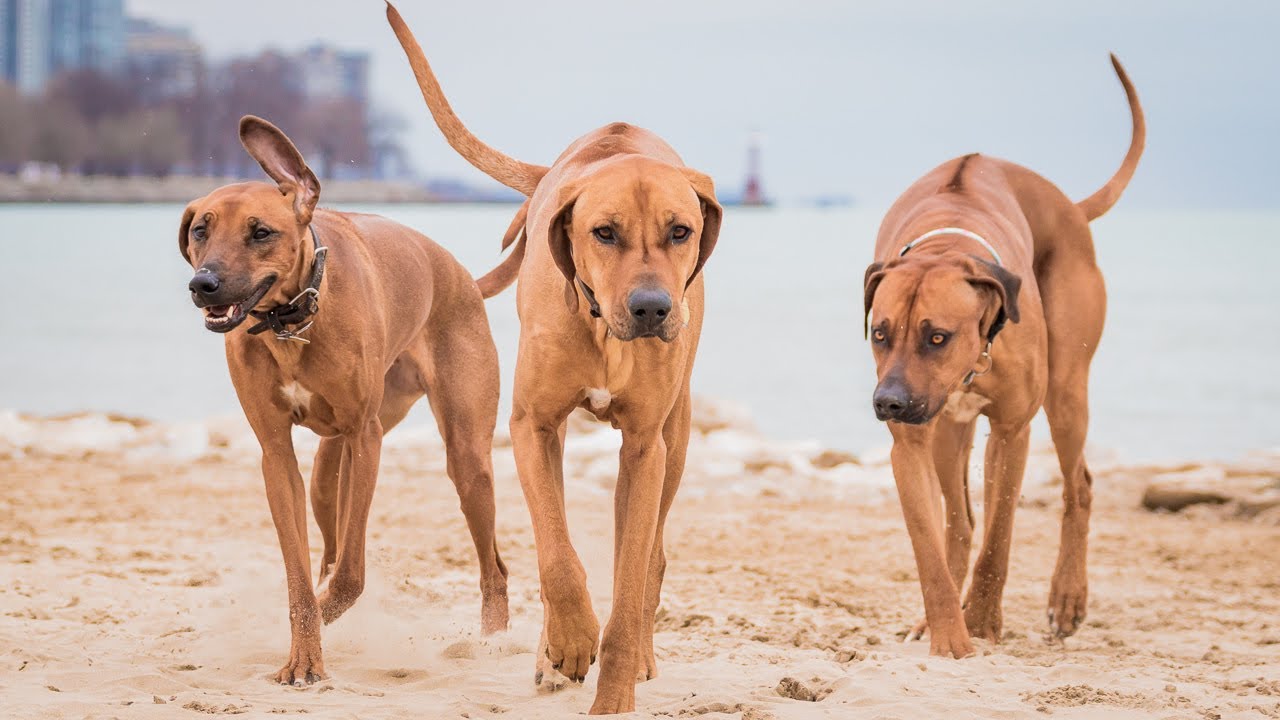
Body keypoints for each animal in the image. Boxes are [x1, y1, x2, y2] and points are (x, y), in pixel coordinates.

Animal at [180, 116, 509, 681]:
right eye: (201, 229)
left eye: (260, 232)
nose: (204, 284)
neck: (292, 321)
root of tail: (463, 275)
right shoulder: (276, 454)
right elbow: (299, 577)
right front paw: (304, 652)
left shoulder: (365, 438)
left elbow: (352, 575)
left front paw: (326, 616)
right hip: (325, 474)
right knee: (329, 540)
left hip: (466, 458)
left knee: (494, 566)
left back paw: (489, 644)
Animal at [381, 5, 721, 712]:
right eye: (603, 232)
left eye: (680, 230)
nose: (652, 309)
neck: (604, 332)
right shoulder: (531, 426)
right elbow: (558, 554)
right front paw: (567, 641)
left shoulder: (645, 446)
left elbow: (629, 575)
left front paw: (615, 691)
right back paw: (551, 650)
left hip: (675, 438)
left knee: (650, 557)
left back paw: (639, 652)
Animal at [865, 56, 1146, 655]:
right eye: (880, 333)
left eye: (937, 336)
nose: (888, 403)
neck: (946, 245)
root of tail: (1068, 205)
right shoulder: (913, 441)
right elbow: (931, 544)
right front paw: (949, 632)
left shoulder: (1014, 429)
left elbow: (999, 537)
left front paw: (983, 622)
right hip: (949, 432)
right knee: (959, 520)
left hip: (1066, 390)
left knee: (1078, 487)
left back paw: (1067, 599)